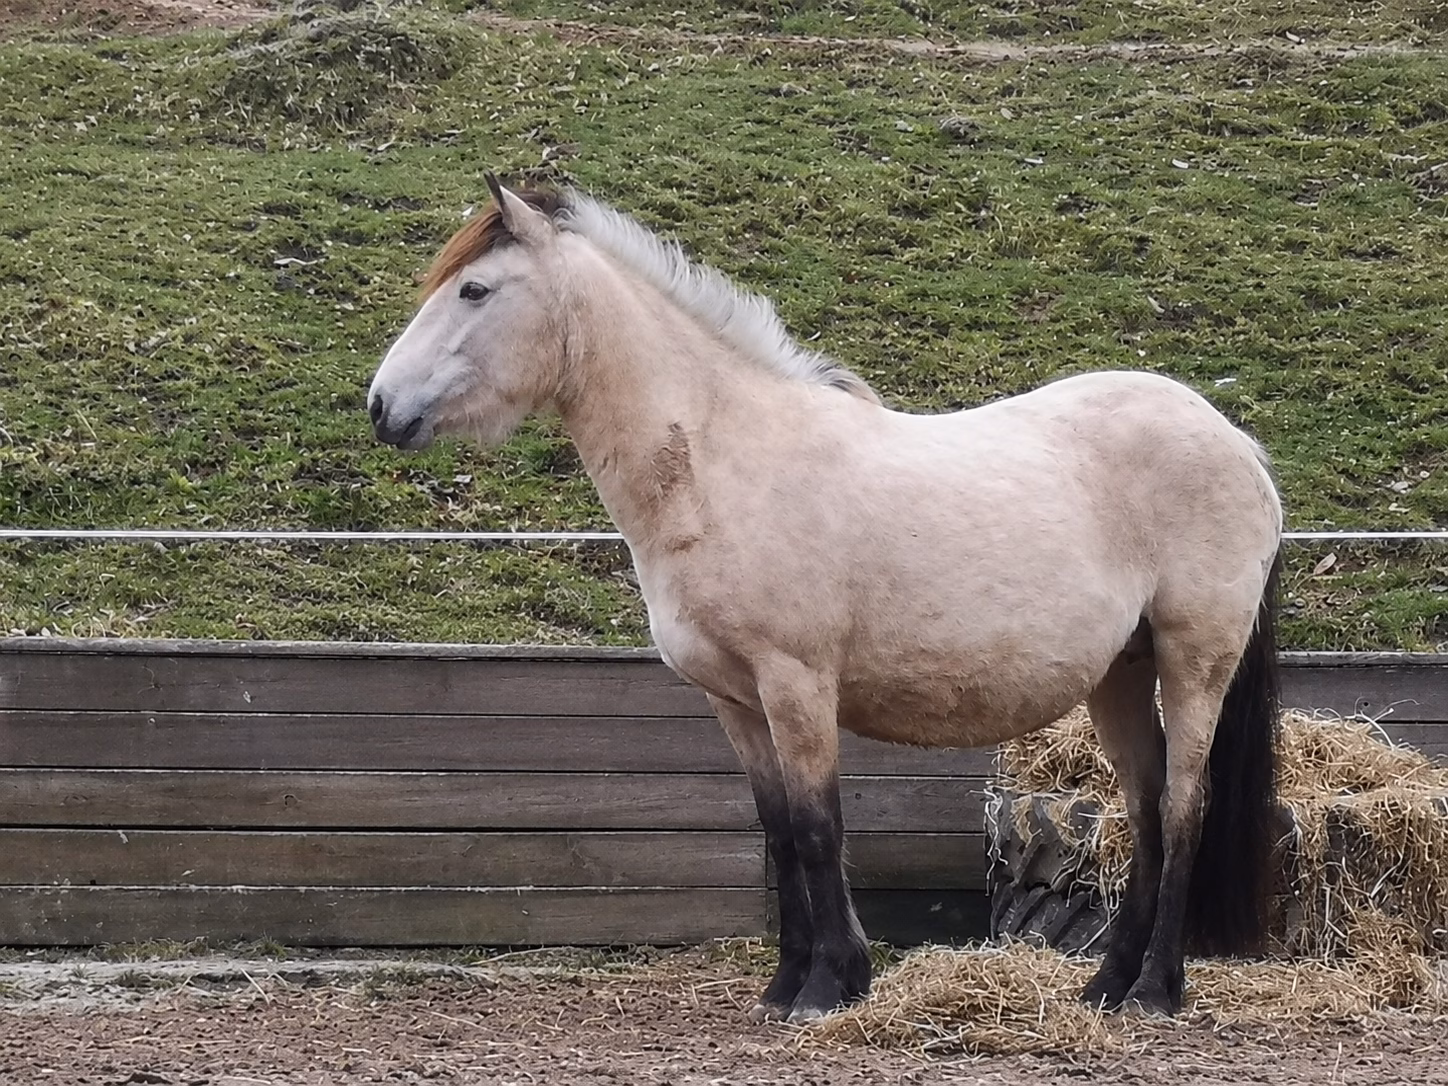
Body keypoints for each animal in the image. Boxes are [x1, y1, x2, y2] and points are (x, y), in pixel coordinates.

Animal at [366, 174, 1284, 1024]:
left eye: (475, 290)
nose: (381, 407)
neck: (718, 464)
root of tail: (1236, 442)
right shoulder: (735, 701)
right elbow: (777, 833)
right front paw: (783, 987)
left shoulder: (797, 684)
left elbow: (818, 829)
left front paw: (828, 986)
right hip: (1121, 674)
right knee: (1145, 811)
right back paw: (1107, 985)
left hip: (1193, 659)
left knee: (1185, 806)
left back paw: (1156, 993)